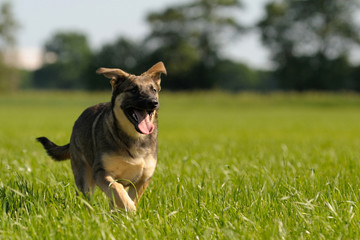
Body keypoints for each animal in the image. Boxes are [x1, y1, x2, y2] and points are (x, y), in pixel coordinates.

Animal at [36, 61, 166, 212]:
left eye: (154, 90)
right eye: (133, 90)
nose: (153, 102)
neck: (134, 137)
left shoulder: (142, 179)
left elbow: (128, 196)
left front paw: (128, 212)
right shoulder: (101, 172)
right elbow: (117, 189)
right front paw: (130, 208)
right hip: (84, 175)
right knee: (85, 197)